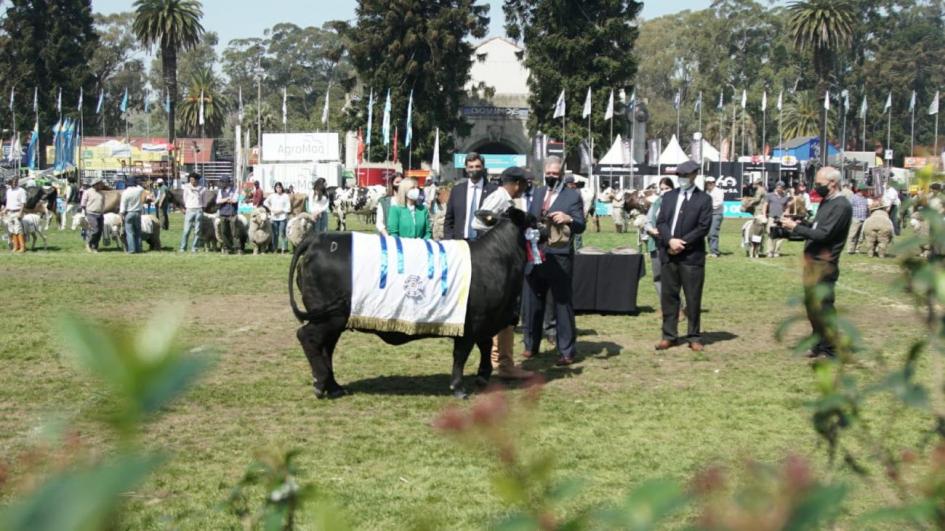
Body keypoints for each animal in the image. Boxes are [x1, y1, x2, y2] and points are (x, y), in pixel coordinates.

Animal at [286, 208, 540, 400]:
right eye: (536, 220)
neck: (497, 260)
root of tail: (317, 239)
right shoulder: (471, 323)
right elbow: (461, 354)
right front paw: (458, 387)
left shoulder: (485, 321)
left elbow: (485, 345)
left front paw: (483, 375)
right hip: (329, 316)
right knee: (307, 337)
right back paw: (321, 382)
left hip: (334, 321)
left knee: (325, 347)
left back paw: (333, 386)